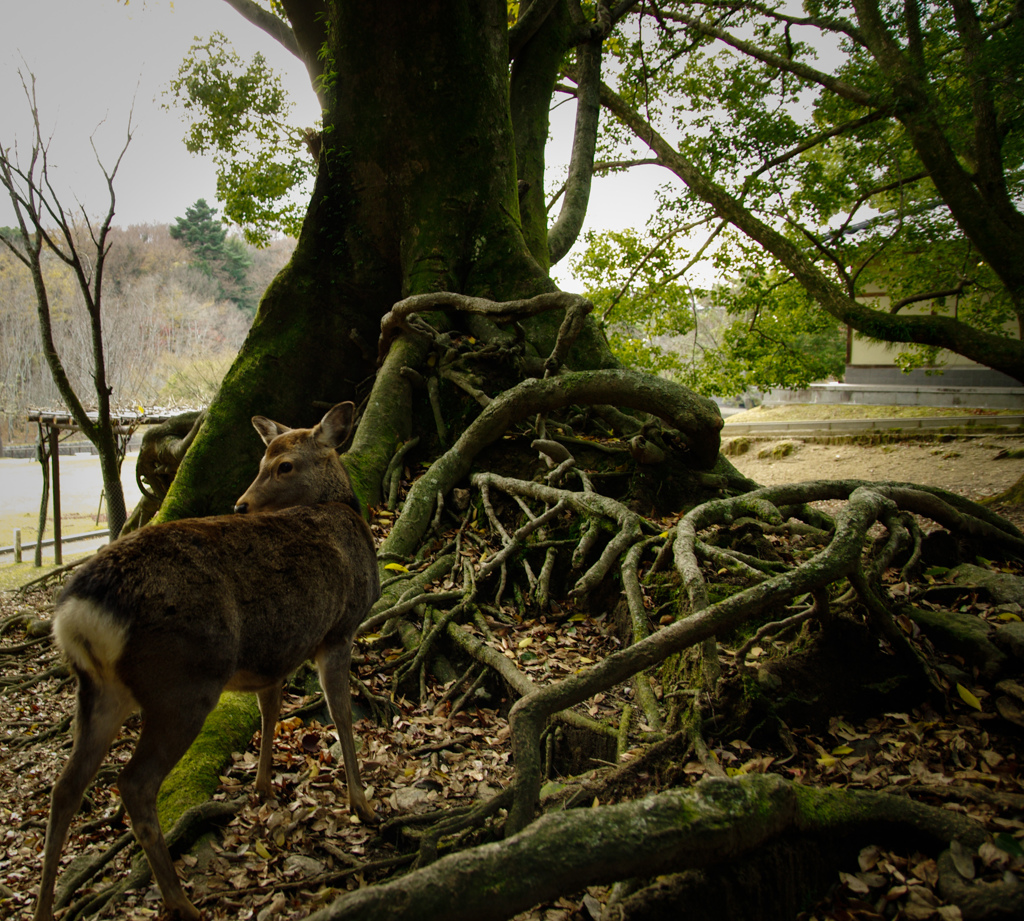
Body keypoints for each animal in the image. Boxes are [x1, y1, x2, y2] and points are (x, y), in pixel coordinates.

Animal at [36, 403, 382, 921]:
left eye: (283, 465)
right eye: (262, 462)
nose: (240, 505)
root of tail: (78, 614)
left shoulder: (273, 655)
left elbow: (270, 712)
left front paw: (262, 787)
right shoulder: (339, 630)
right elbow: (341, 715)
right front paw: (363, 804)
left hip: (99, 690)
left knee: (65, 787)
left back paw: (44, 906)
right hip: (185, 681)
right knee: (134, 783)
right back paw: (181, 903)